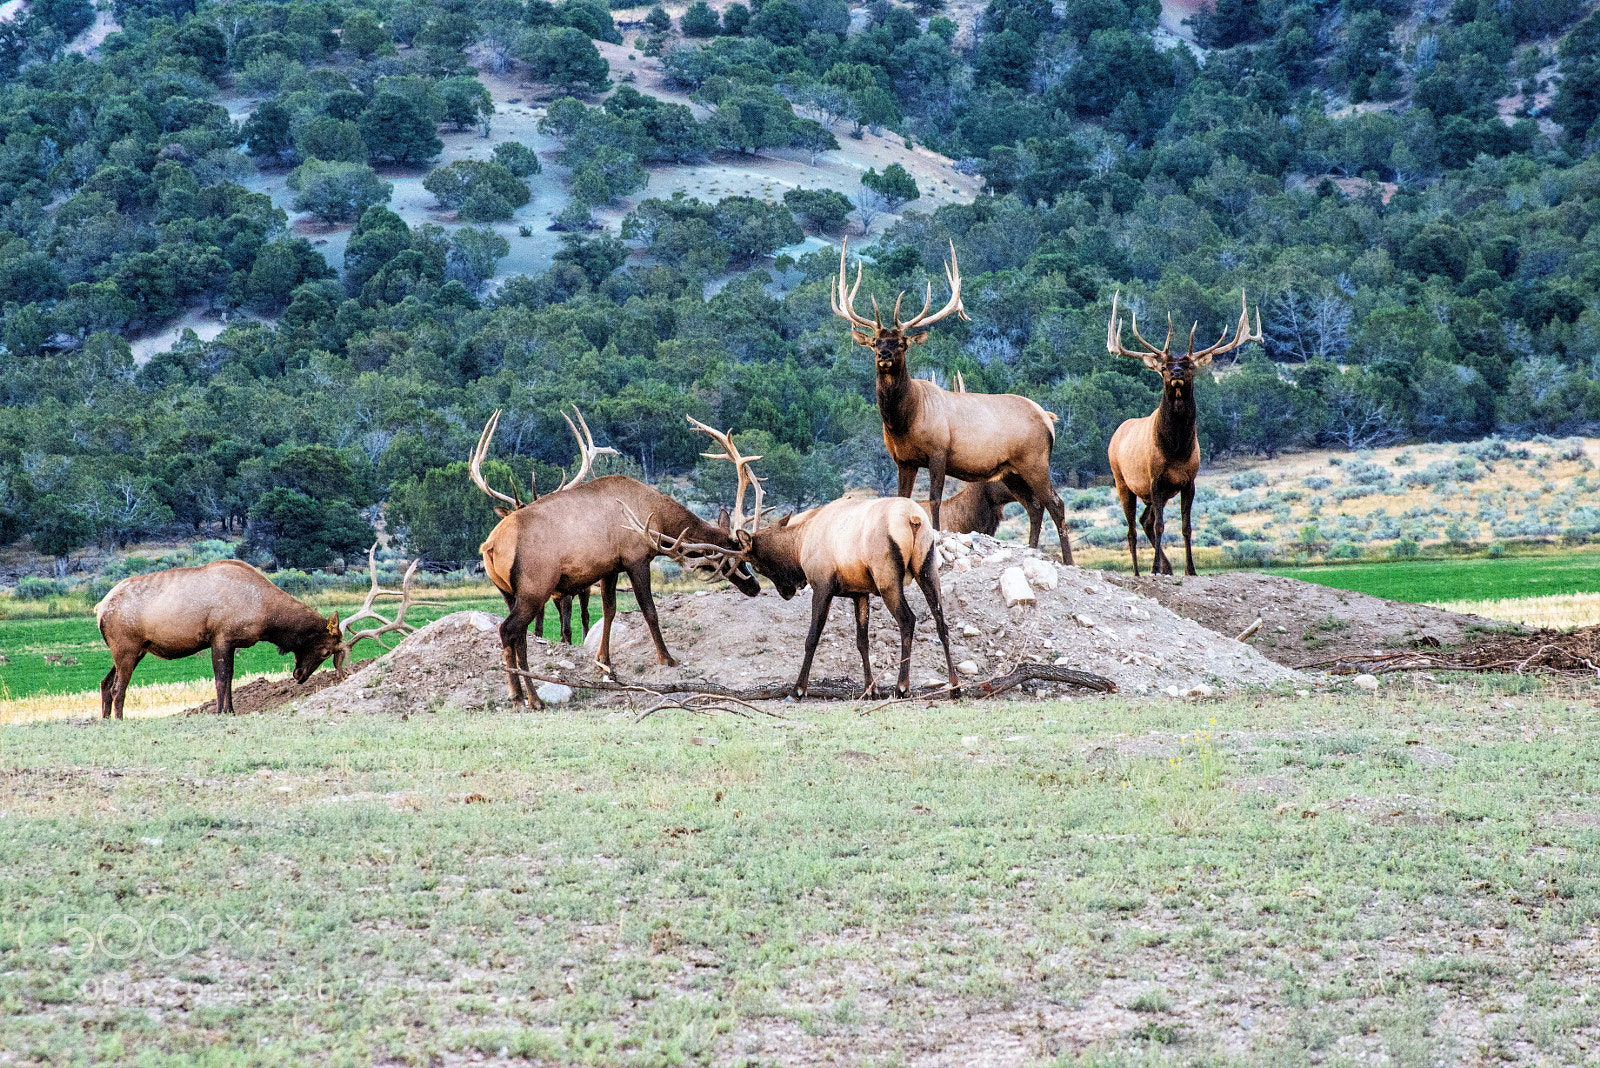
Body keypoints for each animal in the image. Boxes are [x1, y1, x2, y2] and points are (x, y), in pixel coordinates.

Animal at [92, 548, 429, 718]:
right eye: (325, 651)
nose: (299, 675)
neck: (265, 615)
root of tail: (99, 609)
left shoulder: (231, 642)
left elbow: (229, 680)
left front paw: (230, 710)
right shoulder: (221, 635)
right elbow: (222, 678)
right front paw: (222, 713)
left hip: (133, 650)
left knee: (105, 682)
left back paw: (106, 721)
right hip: (127, 646)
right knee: (118, 688)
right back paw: (120, 721)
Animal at [469, 407, 618, 646]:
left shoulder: (564, 590)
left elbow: (567, 628)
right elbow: (538, 628)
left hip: (585, 584)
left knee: (585, 615)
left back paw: (585, 637)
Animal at [627, 417, 961, 700]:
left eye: (757, 564)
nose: (788, 591)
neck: (800, 543)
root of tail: (914, 520)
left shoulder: (823, 583)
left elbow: (812, 637)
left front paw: (797, 689)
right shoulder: (860, 591)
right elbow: (861, 641)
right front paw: (870, 689)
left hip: (888, 577)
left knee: (909, 620)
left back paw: (903, 686)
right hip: (927, 567)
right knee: (941, 621)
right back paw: (954, 686)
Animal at [832, 240, 1074, 563]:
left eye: (901, 343)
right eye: (874, 343)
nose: (884, 355)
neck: (903, 421)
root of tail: (1049, 420)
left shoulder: (939, 451)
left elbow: (934, 499)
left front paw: (935, 535)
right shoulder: (903, 460)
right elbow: (903, 498)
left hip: (1034, 459)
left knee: (1055, 503)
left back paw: (1068, 559)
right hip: (1011, 470)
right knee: (1034, 506)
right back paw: (1032, 549)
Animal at [1105, 290, 1262, 576]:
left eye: (1189, 366)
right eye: (1164, 367)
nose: (1176, 371)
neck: (1176, 449)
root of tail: (1115, 436)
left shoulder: (1189, 482)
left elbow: (1186, 527)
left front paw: (1190, 569)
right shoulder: (1154, 480)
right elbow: (1160, 525)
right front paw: (1155, 569)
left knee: (1144, 521)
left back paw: (1166, 566)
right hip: (1122, 480)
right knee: (1132, 530)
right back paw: (1139, 571)